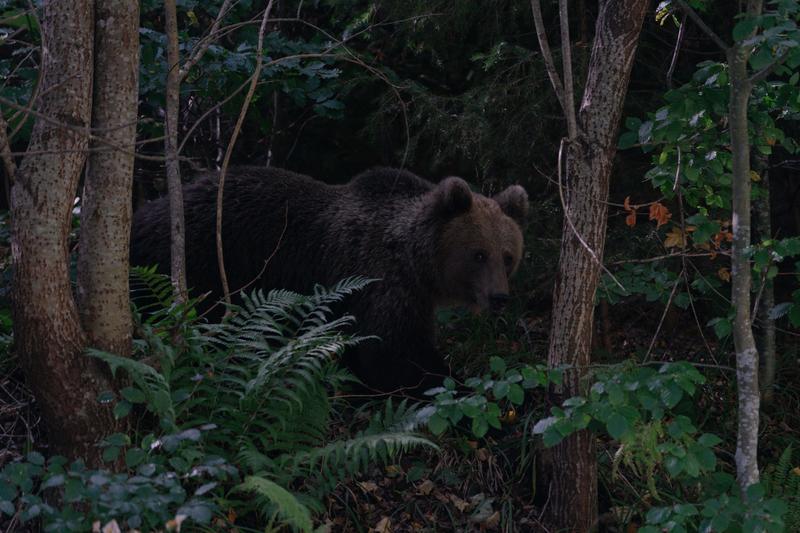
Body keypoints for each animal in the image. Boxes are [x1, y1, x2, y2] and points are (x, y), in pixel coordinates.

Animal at [130, 166, 528, 390]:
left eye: (508, 256)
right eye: (479, 254)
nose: (500, 298)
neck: (414, 261)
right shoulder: (378, 282)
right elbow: (390, 353)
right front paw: (456, 383)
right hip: (199, 262)